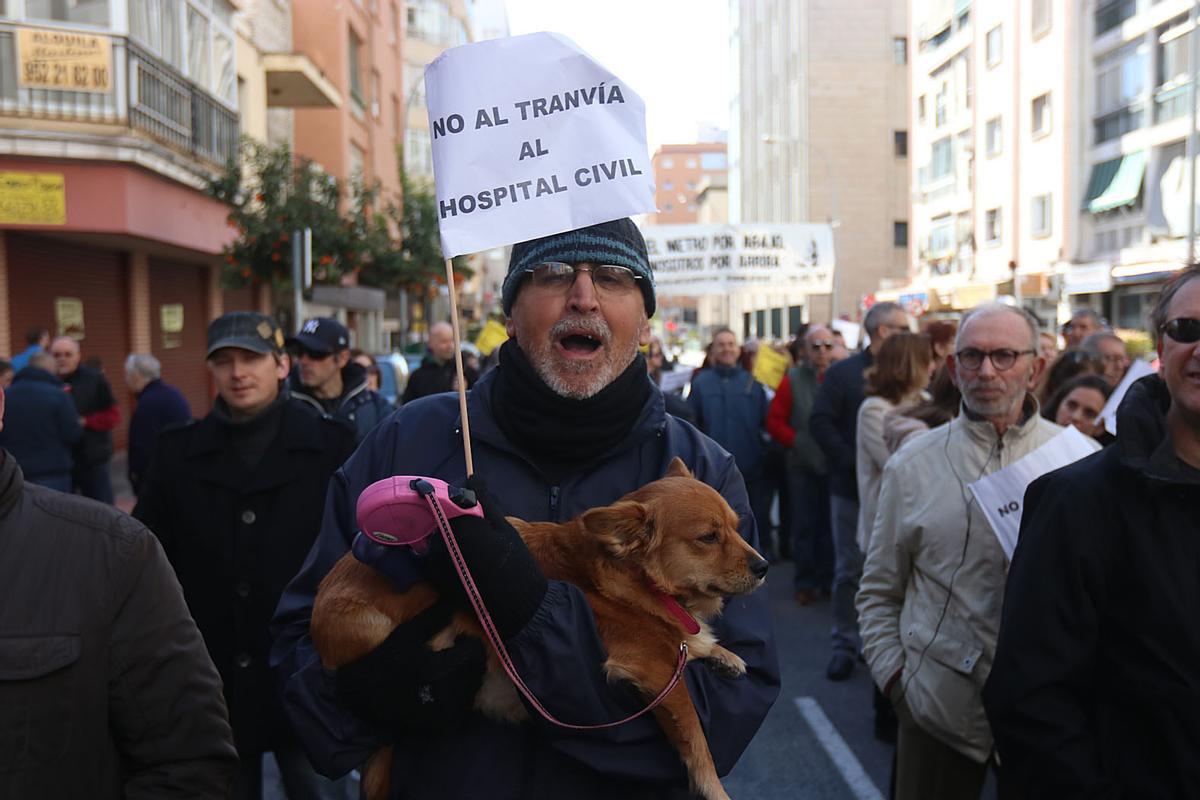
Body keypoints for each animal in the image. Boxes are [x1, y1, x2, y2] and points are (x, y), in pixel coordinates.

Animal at [312, 455, 768, 800]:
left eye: (737, 527)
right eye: (708, 538)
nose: (764, 566)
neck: (636, 582)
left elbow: (695, 645)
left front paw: (722, 655)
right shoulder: (653, 670)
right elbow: (696, 734)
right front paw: (714, 789)